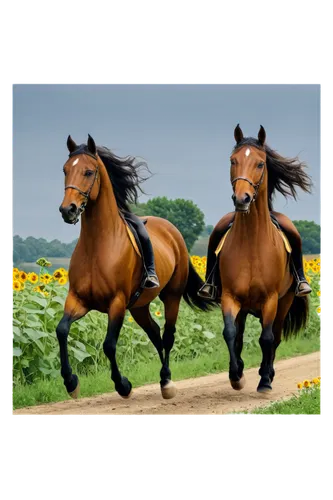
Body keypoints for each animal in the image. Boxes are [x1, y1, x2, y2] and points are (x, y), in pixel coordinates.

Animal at [55, 135, 214, 400]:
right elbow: (61, 330)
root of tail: (172, 230)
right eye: (65, 170)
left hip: (171, 296)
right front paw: (70, 382)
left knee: (167, 335)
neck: (97, 244)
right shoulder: (78, 300)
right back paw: (163, 378)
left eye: (88, 172)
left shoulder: (116, 303)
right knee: (155, 333)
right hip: (139, 307)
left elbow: (109, 345)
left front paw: (123, 385)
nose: (68, 210)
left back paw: (167, 382)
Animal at [198, 126, 310, 394]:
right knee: (239, 335)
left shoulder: (270, 300)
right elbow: (230, 333)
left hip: (284, 302)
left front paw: (265, 380)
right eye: (233, 161)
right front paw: (236, 375)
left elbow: (267, 338)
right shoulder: (230, 297)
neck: (251, 242)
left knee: (275, 336)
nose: (242, 199)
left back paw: (267, 374)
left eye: (260, 163)